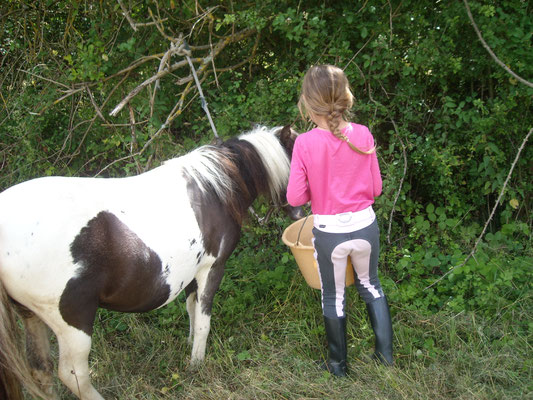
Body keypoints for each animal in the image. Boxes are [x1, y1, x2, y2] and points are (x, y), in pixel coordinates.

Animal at [0, 126, 302, 400]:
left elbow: (191, 311)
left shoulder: (193, 274)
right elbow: (203, 321)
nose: (301, 213)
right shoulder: (211, 269)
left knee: (41, 371)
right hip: (73, 322)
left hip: (32, 317)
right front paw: (197, 365)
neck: (213, 188)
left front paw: (189, 350)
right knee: (73, 375)